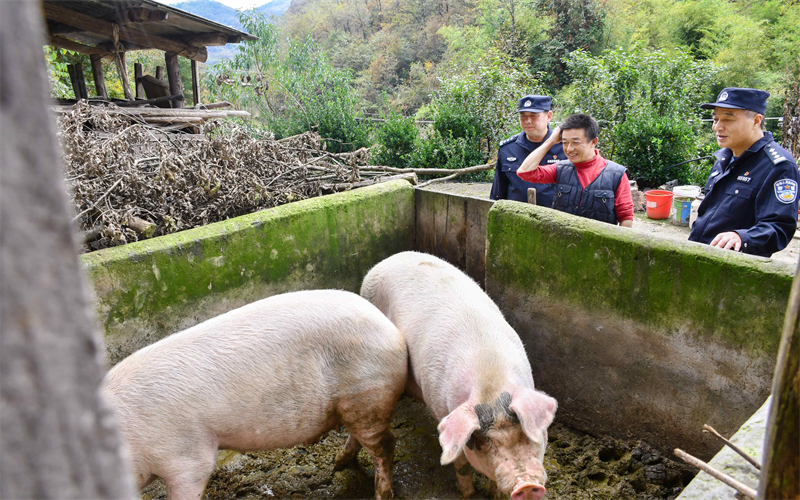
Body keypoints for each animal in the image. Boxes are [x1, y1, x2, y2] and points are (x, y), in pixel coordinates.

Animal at [101, 290, 406, 500]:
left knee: (386, 445)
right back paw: (339, 463)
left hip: (367, 394)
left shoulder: (187, 456)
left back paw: (380, 494)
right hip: (356, 404)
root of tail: (393, 332)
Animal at [362, 254, 556, 500]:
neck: (491, 383)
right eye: (481, 440)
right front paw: (468, 494)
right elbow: (462, 464)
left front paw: (495, 495)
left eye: (524, 429)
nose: (526, 485)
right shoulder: (443, 412)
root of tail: (386, 260)